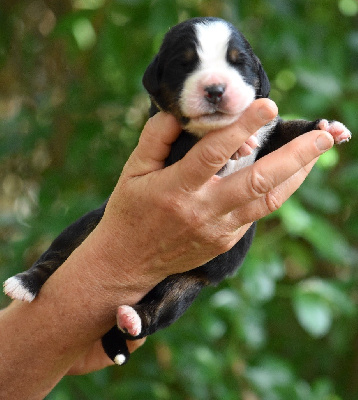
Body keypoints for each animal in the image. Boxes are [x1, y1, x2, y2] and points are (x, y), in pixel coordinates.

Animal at [4, 16, 352, 366]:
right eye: (185, 65)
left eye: (237, 62)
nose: (215, 90)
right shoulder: (172, 148)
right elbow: (190, 141)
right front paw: (235, 144)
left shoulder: (269, 134)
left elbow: (290, 130)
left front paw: (328, 127)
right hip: (89, 226)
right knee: (57, 255)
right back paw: (24, 284)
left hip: (184, 287)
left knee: (159, 312)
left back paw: (131, 319)